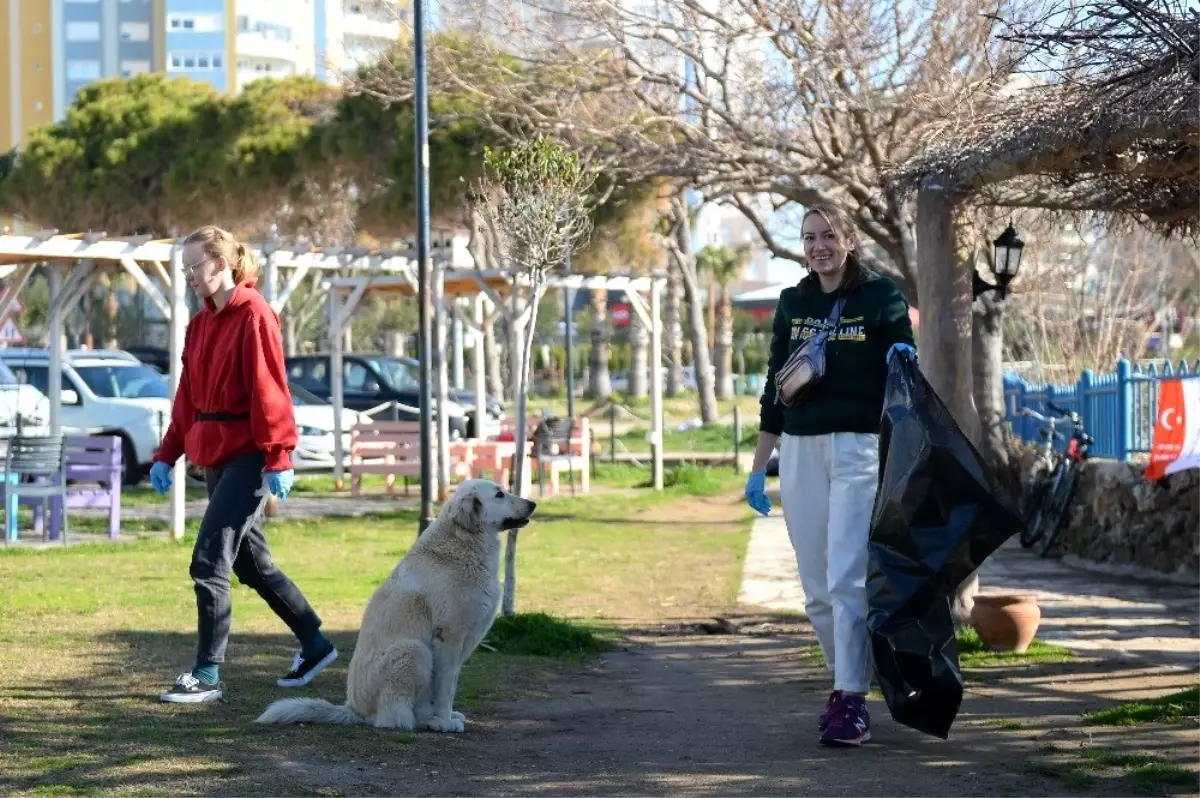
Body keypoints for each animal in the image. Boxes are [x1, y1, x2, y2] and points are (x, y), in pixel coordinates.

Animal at [255, 475, 537, 729]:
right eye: (499, 495)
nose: (533, 503)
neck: (462, 543)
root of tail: (353, 710)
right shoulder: (449, 637)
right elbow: (445, 688)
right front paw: (444, 721)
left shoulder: (463, 642)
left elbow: (451, 684)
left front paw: (447, 715)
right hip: (413, 650)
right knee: (391, 718)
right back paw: (426, 721)